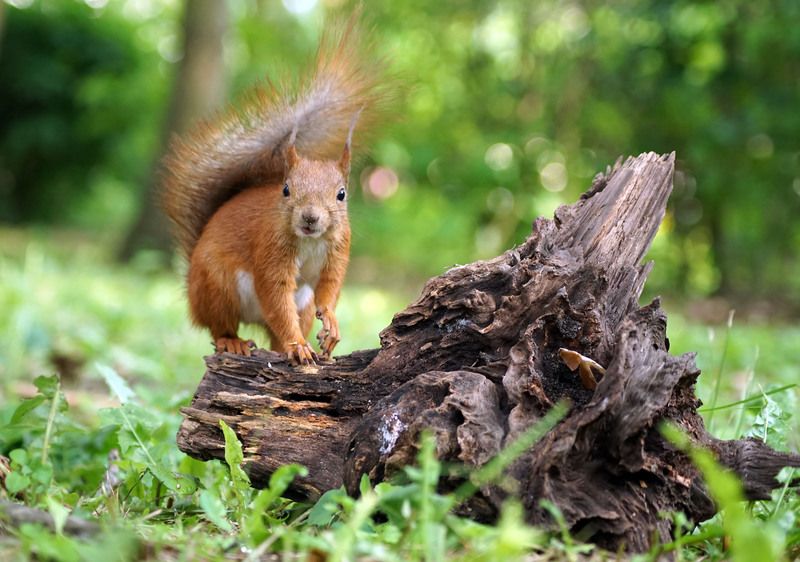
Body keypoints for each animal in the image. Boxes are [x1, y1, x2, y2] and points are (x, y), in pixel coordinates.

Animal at [161, 15, 391, 364]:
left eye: (341, 194)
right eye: (285, 190)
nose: (310, 217)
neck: (310, 240)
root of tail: (191, 289)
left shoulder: (338, 250)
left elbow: (330, 288)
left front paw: (331, 324)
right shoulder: (270, 248)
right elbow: (276, 295)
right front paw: (298, 345)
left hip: (302, 304)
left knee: (279, 329)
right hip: (218, 286)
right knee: (221, 325)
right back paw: (236, 342)